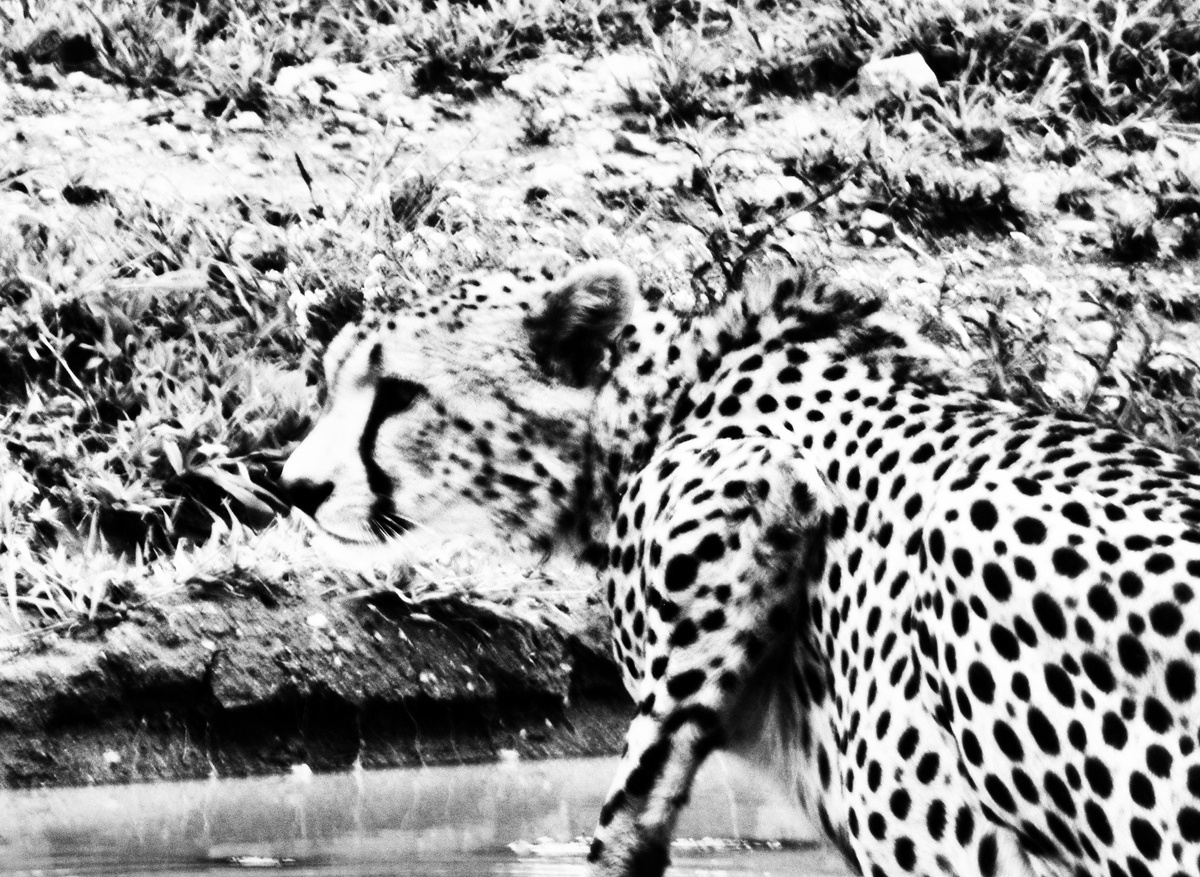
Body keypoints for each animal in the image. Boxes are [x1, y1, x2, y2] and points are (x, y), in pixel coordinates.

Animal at [280, 259, 1200, 877]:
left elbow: (651, 756)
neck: (655, 407)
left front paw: (618, 844)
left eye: (399, 393)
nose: (294, 485)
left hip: (965, 536)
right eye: (326, 383)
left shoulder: (753, 482)